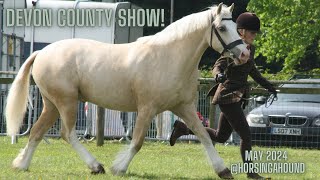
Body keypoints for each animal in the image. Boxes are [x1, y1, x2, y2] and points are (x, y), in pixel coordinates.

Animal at [5, 2, 250, 179]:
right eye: (222, 28)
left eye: (235, 27)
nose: (245, 54)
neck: (170, 57)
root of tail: (42, 53)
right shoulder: (147, 108)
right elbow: (137, 142)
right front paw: (119, 168)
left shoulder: (184, 107)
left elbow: (204, 136)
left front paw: (223, 170)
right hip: (66, 102)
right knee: (67, 133)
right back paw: (96, 166)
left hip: (52, 104)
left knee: (37, 132)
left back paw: (21, 164)